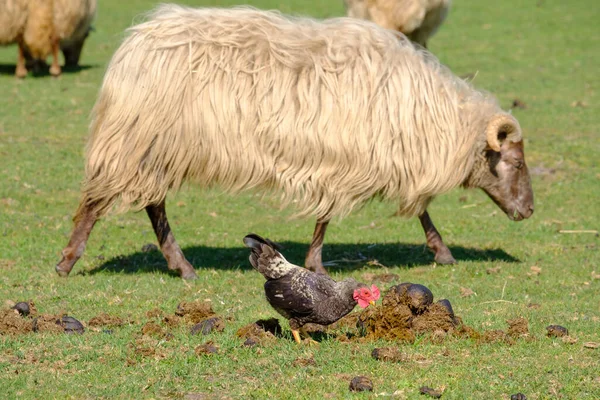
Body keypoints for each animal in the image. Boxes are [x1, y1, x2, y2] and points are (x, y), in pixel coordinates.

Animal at [56, 4, 536, 280]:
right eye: (515, 163)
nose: (530, 211)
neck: (435, 116)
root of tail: (135, 43)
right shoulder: (354, 161)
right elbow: (339, 216)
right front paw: (318, 263)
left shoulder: (366, 158)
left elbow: (417, 210)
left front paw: (441, 251)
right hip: (137, 140)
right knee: (102, 203)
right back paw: (69, 261)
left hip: (155, 146)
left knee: (153, 204)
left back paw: (181, 266)